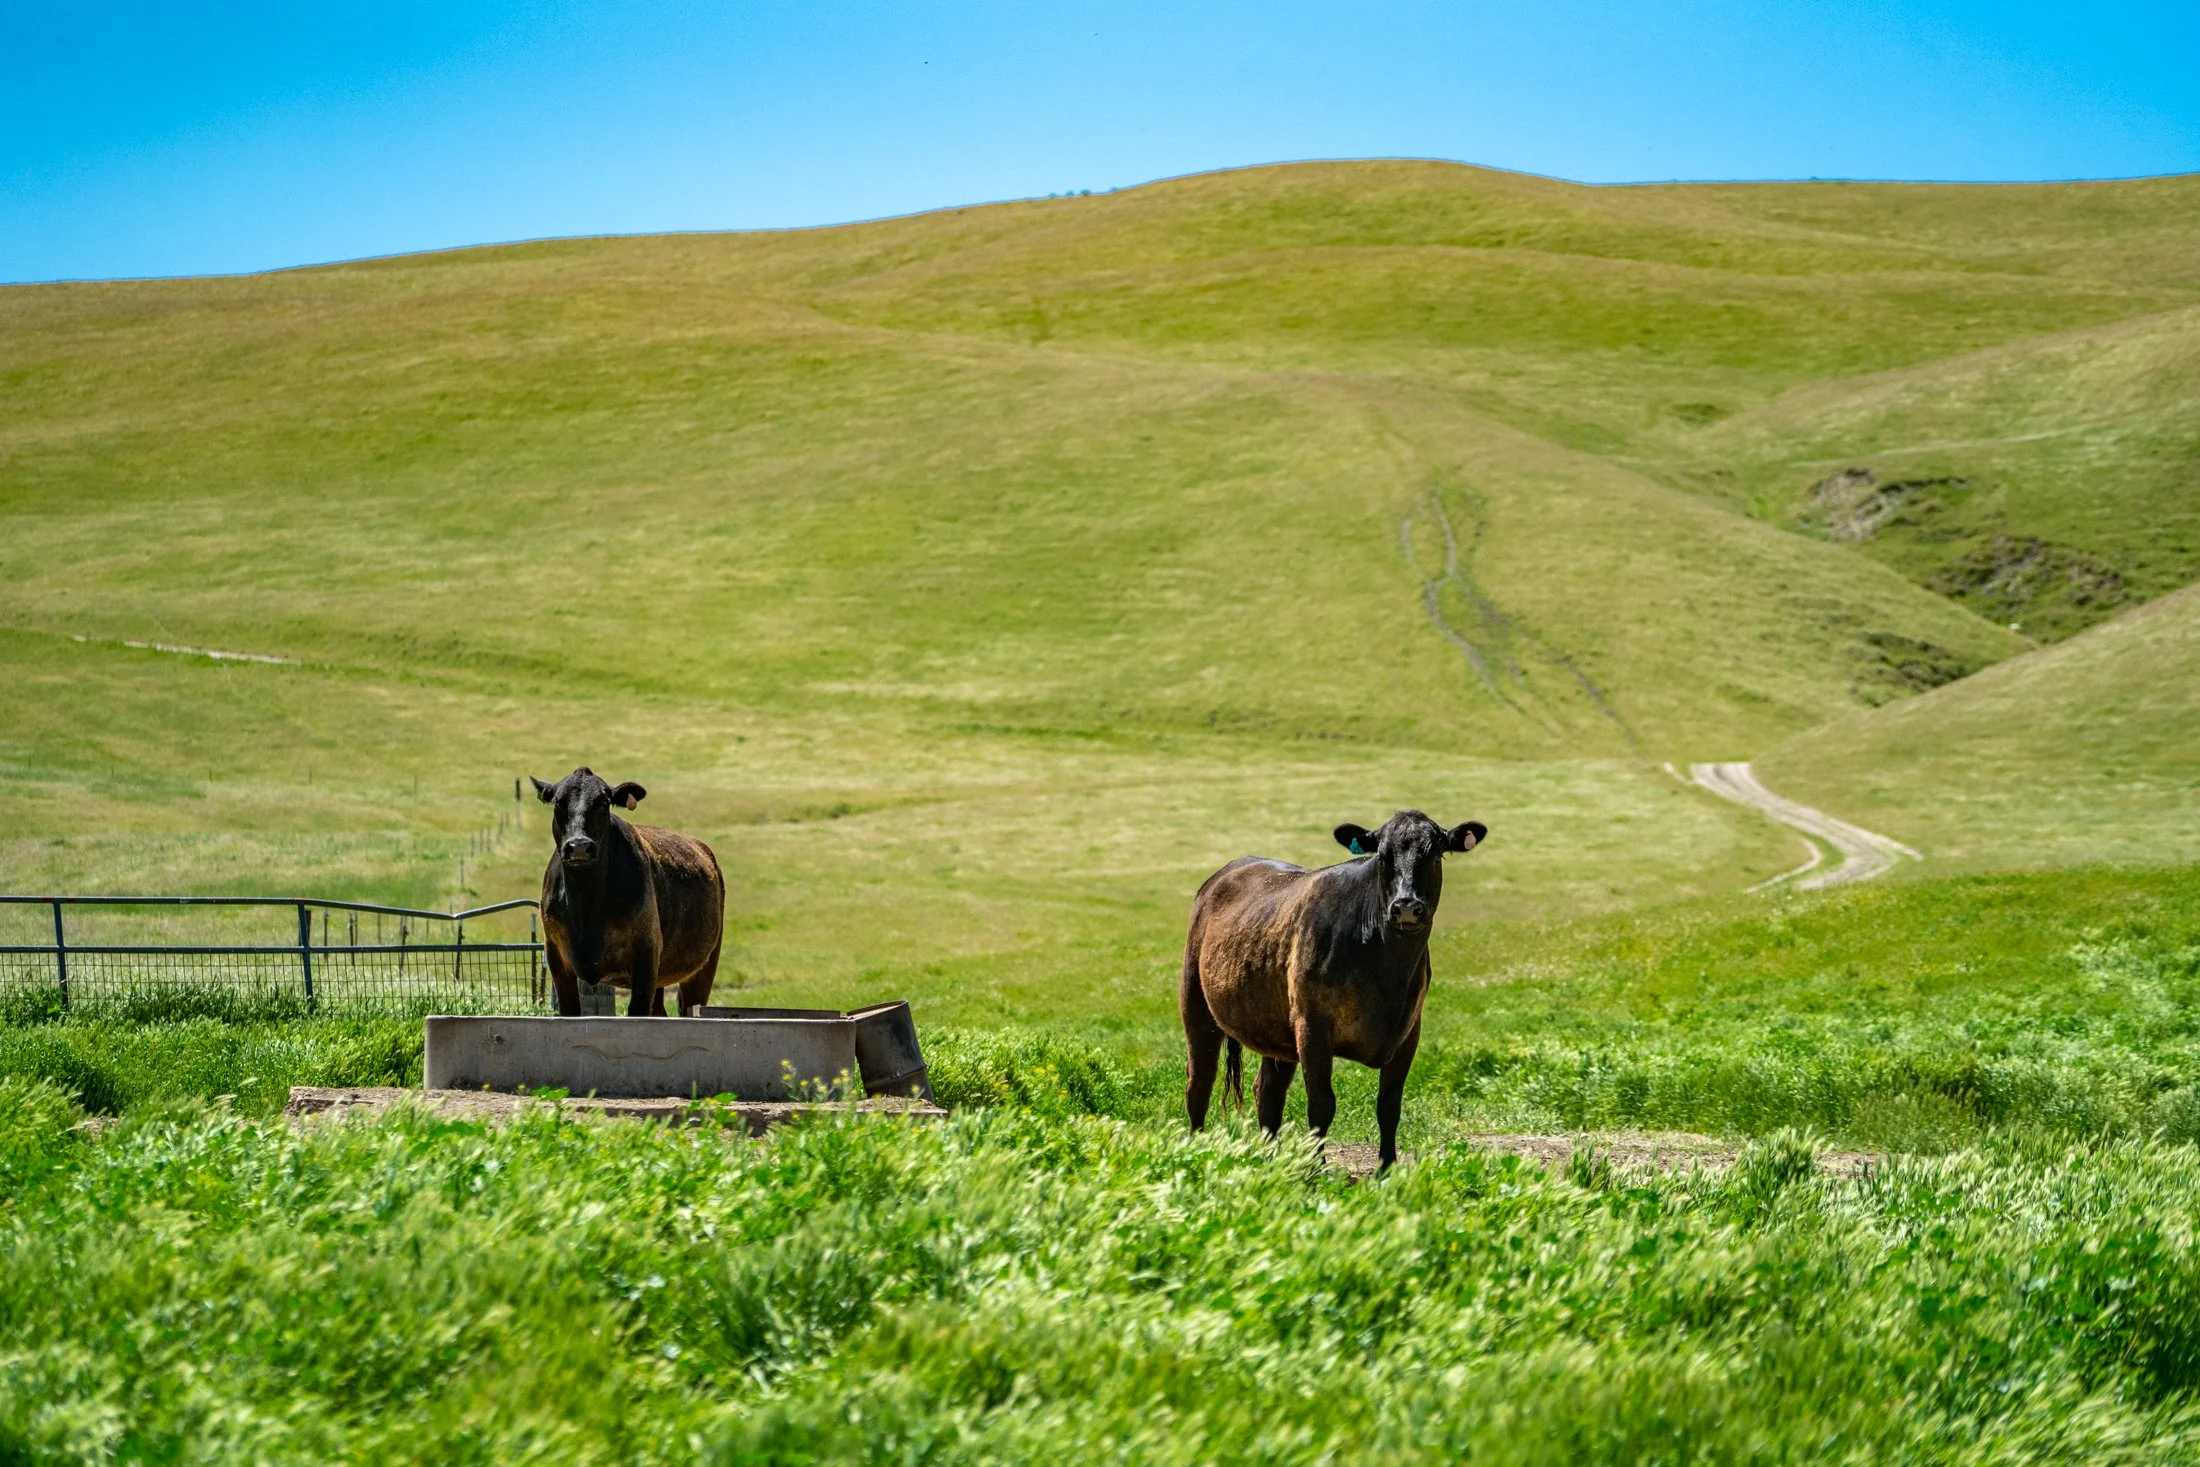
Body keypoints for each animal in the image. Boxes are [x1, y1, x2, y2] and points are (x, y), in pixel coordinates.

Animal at [531, 767, 724, 1017]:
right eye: (557, 802)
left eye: (603, 802)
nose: (579, 846)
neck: (584, 901)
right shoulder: (555, 953)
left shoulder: (645, 953)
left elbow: (637, 1011)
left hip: (703, 966)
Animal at [1179, 810, 1486, 1170]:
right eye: (1382, 856)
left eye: (1435, 853)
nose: (1407, 906)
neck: (1386, 969)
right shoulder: (1312, 1027)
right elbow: (1321, 1105)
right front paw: (1316, 1168)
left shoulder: (1410, 1031)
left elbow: (1389, 1105)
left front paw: (1386, 1168)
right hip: (1196, 1004)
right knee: (1199, 1081)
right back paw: (1197, 1148)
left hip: (1276, 1030)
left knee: (1266, 1092)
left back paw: (1271, 1160)